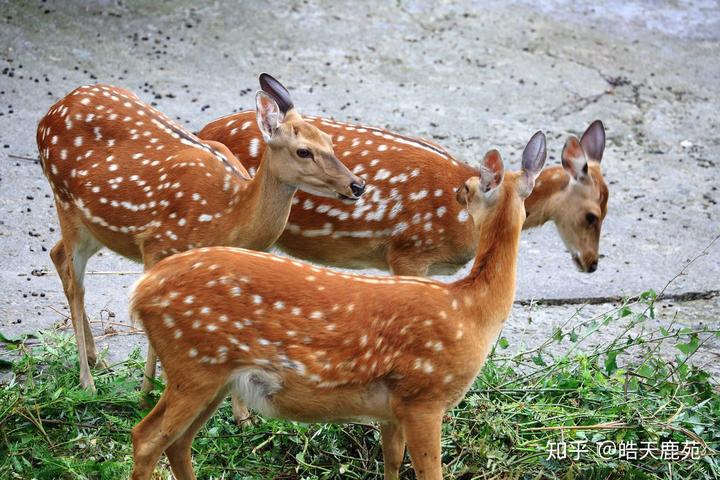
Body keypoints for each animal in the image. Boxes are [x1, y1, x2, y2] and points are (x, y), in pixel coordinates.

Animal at [35, 75, 362, 396]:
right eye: (303, 151)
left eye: (329, 141)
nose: (357, 185)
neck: (227, 215)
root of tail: (50, 112)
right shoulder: (155, 244)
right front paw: (145, 392)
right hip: (64, 200)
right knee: (76, 285)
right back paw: (87, 381)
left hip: (94, 226)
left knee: (56, 253)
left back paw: (95, 358)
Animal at [128, 131, 544, 480]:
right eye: (470, 185)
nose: (458, 192)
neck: (470, 309)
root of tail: (141, 290)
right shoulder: (423, 395)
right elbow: (428, 473)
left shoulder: (393, 407)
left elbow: (392, 460)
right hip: (194, 364)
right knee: (146, 437)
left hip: (211, 374)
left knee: (177, 442)